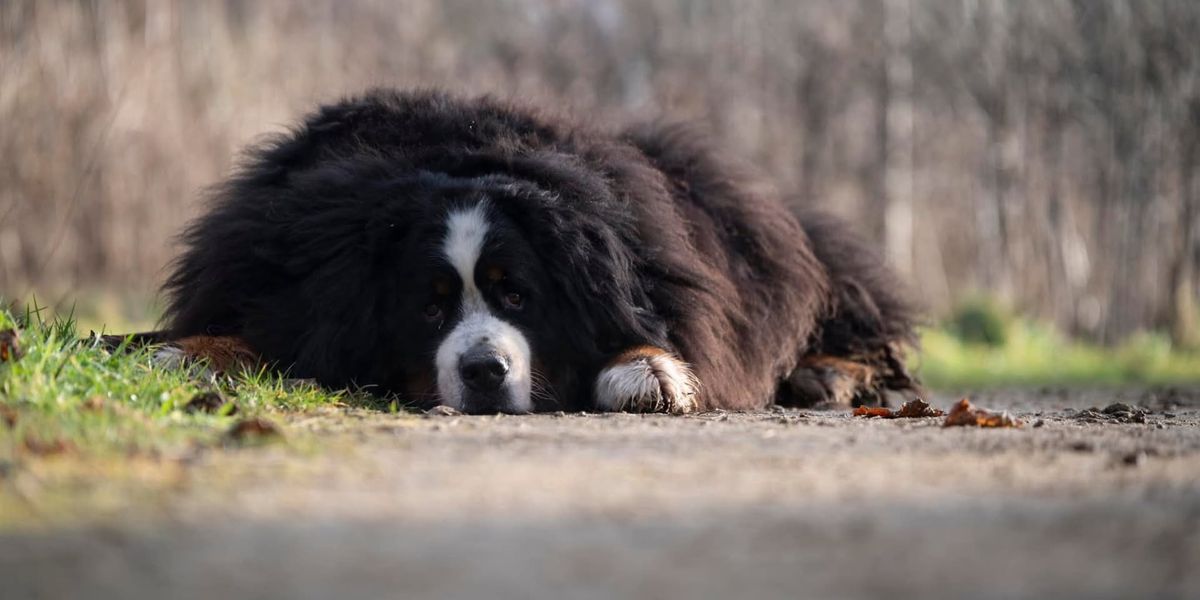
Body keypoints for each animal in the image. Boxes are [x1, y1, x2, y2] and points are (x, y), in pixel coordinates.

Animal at [142, 90, 926, 412]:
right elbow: (266, 327)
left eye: (518, 294)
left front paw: (649, 374)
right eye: (427, 308)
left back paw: (828, 377)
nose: (485, 372)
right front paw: (189, 352)